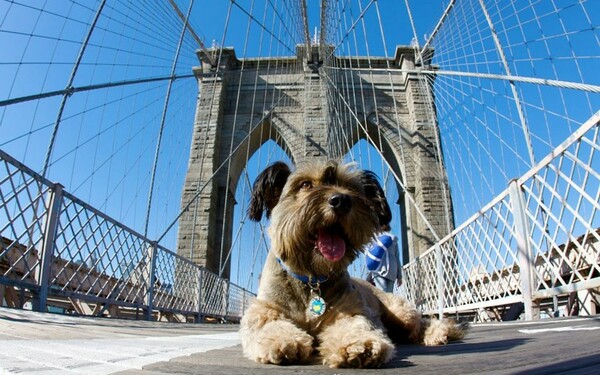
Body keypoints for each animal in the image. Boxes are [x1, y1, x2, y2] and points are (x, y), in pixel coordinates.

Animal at [241, 160, 466, 368]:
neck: (312, 278)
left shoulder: (350, 309)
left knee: (421, 324)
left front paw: (359, 345)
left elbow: (353, 325)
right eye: (305, 184)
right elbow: (268, 323)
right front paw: (282, 340)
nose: (341, 200)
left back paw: (438, 333)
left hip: (401, 313)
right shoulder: (263, 309)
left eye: (350, 187)